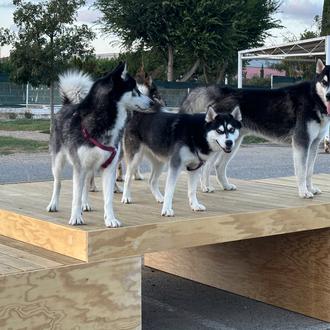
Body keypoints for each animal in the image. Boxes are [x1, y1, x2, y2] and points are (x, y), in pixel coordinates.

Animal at [46, 62, 155, 227]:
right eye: (135, 90)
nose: (152, 102)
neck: (102, 121)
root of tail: (67, 105)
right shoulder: (79, 167)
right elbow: (75, 197)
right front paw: (76, 217)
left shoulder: (109, 168)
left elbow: (108, 199)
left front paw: (110, 219)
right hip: (58, 162)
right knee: (57, 183)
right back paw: (53, 204)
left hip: (89, 166)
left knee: (86, 185)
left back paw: (85, 204)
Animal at [180, 58, 330, 199]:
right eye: (324, 82)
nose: (328, 96)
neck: (314, 98)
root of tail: (225, 92)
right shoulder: (302, 142)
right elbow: (302, 171)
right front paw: (304, 192)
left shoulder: (314, 144)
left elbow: (309, 171)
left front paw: (311, 189)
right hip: (219, 143)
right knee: (207, 166)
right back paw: (205, 187)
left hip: (232, 144)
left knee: (219, 166)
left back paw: (226, 185)